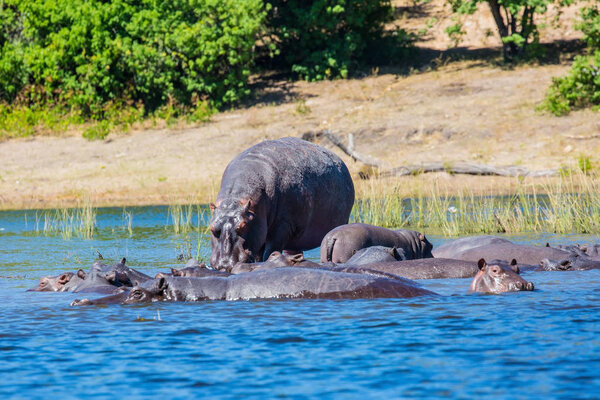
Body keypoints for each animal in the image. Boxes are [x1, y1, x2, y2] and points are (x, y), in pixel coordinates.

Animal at [209, 138, 354, 272]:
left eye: (244, 225)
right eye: (211, 228)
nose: (225, 265)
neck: (235, 199)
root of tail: (341, 161)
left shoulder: (283, 226)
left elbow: (269, 252)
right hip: (294, 241)